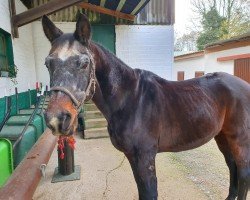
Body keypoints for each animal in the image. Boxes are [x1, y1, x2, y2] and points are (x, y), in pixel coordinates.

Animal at [42, 14, 249, 200]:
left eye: (84, 63)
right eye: (47, 64)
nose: (57, 119)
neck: (130, 99)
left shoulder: (145, 157)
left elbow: (149, 193)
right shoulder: (133, 157)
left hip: (239, 139)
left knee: (243, 172)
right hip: (222, 136)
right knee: (232, 166)